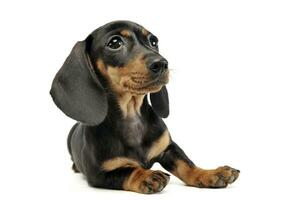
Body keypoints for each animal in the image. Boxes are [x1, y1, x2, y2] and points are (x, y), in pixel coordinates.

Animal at [50, 20, 240, 194]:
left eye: (153, 41)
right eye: (115, 43)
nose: (162, 63)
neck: (131, 114)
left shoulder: (169, 148)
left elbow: (186, 165)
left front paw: (210, 173)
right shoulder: (99, 173)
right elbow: (128, 170)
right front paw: (145, 176)